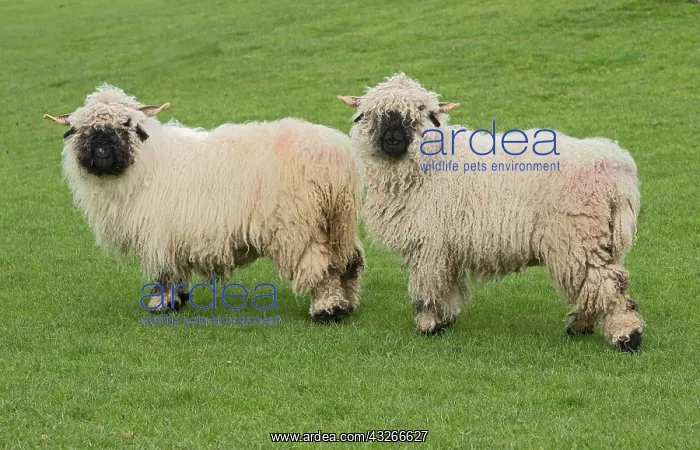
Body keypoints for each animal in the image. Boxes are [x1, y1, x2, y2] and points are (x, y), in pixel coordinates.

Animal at [44, 84, 364, 322]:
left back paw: (326, 310)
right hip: (338, 223)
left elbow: (165, 273)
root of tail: (334, 154)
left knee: (322, 269)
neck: (146, 164)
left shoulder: (160, 233)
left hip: (299, 226)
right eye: (80, 129)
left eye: (127, 123)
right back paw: (347, 304)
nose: (101, 152)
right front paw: (177, 300)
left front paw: (162, 304)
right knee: (350, 262)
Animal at [339, 73, 644, 351]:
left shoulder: (430, 245)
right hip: (600, 239)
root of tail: (617, 168)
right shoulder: (446, 247)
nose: (392, 140)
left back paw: (627, 336)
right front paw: (445, 322)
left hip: (577, 237)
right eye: (371, 115)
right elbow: (448, 285)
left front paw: (428, 325)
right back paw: (582, 325)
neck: (429, 164)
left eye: (422, 114)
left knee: (607, 285)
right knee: (599, 284)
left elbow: (429, 288)